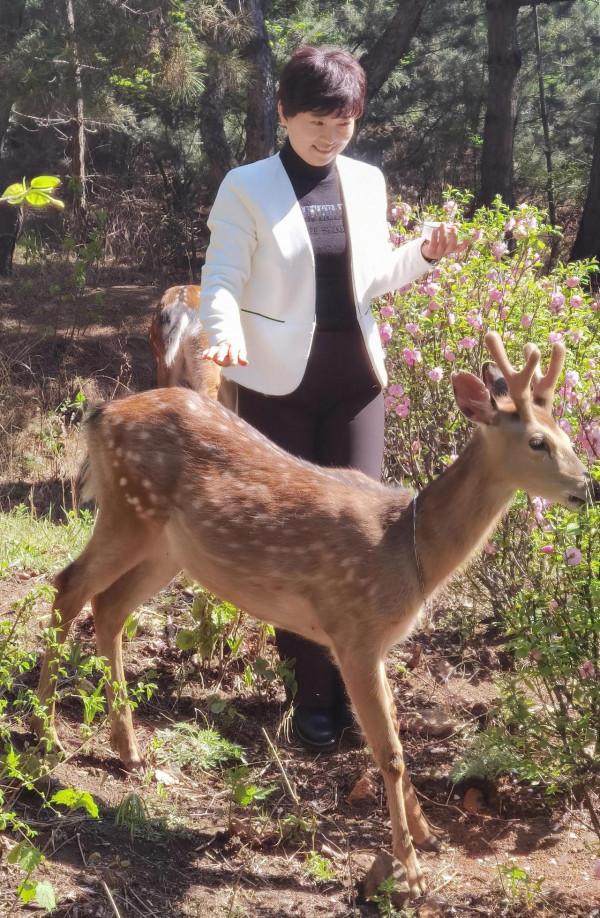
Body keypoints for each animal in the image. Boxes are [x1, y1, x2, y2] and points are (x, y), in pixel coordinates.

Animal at [33, 331, 598, 899]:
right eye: (537, 442)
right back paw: (45, 736)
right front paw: (411, 871)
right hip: (129, 513)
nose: (586, 487)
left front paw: (427, 834)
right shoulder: (354, 632)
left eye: (566, 433)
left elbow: (396, 736)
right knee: (68, 587)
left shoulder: (377, 643)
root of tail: (100, 413)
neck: (409, 549)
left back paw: (128, 750)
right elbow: (390, 752)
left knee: (109, 606)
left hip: (167, 546)